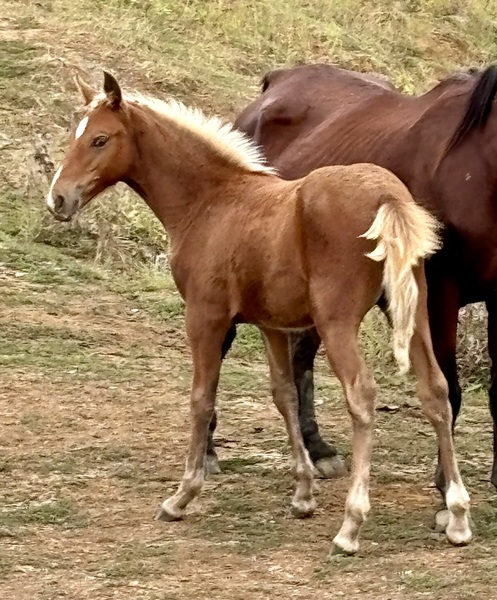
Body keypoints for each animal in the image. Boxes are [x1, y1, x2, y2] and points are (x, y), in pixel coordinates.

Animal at [45, 72, 468, 556]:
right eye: (75, 135)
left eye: (99, 139)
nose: (58, 199)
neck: (212, 200)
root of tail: (386, 195)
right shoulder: (270, 324)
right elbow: (283, 395)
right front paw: (303, 493)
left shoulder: (205, 316)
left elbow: (201, 399)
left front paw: (181, 496)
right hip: (415, 314)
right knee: (435, 391)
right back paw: (457, 516)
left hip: (338, 322)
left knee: (362, 397)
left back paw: (351, 526)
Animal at [232, 62, 497, 496]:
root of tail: (276, 83)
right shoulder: (439, 293)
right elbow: (449, 387)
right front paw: (447, 487)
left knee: (301, 357)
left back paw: (316, 447)